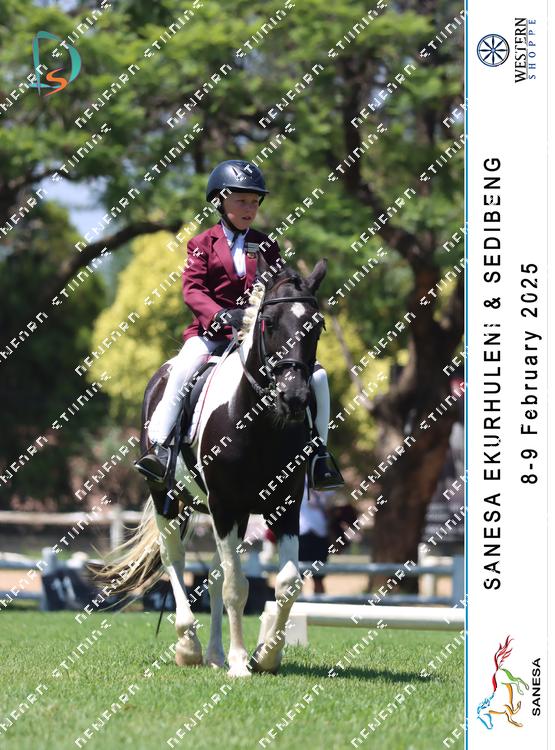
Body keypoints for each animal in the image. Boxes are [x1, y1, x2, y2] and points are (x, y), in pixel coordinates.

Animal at [99, 254, 327, 677]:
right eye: (269, 323)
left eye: (316, 326)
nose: (294, 398)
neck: (259, 421)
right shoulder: (224, 505)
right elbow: (238, 586)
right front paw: (240, 663)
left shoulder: (283, 506)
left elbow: (285, 582)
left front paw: (266, 656)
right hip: (169, 499)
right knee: (175, 560)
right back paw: (190, 647)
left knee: (216, 573)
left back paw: (216, 654)